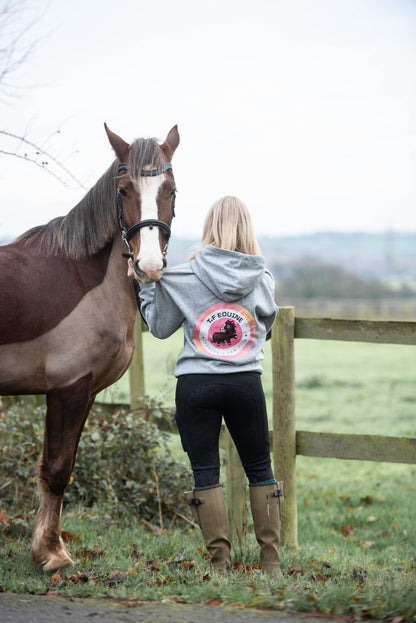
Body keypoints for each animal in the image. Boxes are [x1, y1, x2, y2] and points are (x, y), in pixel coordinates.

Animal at [0, 123, 179, 576]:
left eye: (170, 190)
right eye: (124, 190)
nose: (149, 266)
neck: (84, 276)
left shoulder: (88, 393)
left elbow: (64, 466)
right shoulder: (68, 387)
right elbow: (56, 469)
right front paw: (50, 554)